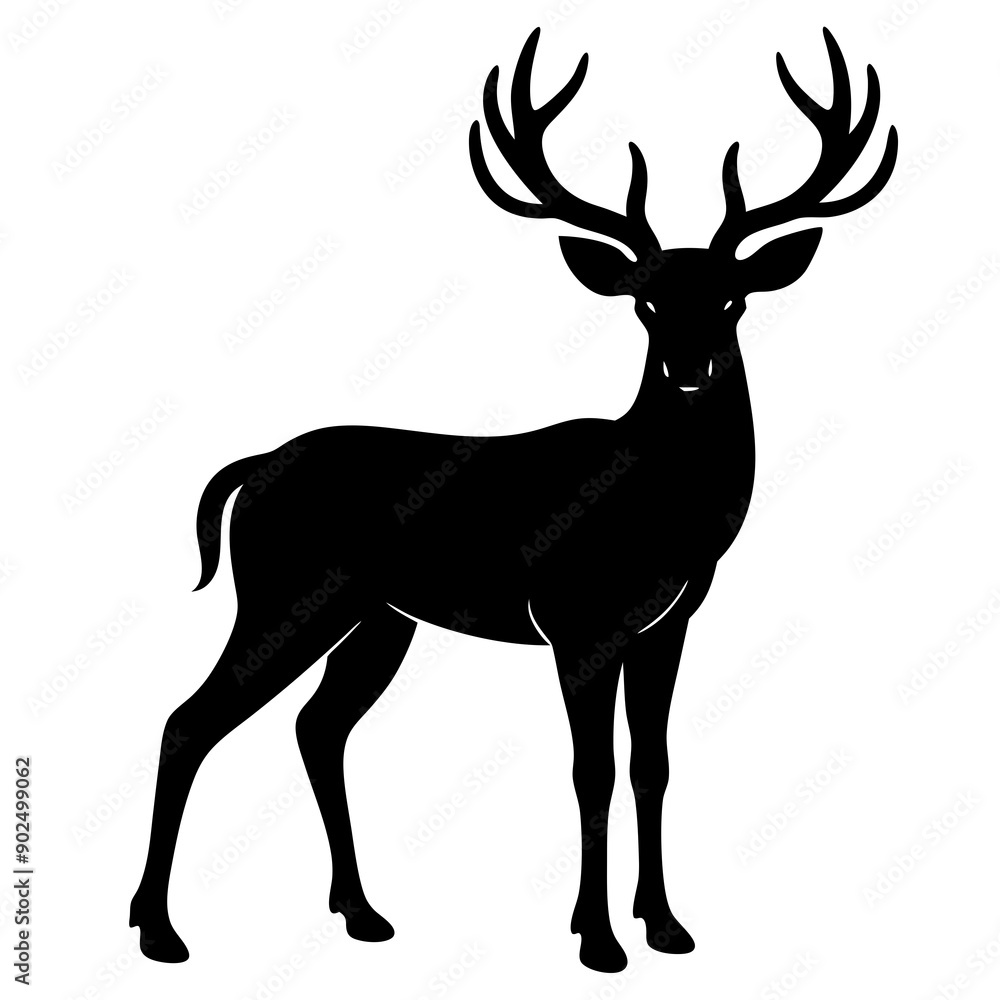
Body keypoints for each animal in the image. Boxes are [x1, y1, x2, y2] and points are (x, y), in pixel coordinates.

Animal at [129, 26, 896, 973]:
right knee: (189, 719)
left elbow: (653, 765)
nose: (689, 368)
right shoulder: (579, 620)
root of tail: (251, 468)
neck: (665, 508)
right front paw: (599, 940)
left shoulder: (668, 622)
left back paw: (362, 912)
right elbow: (591, 772)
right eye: (646, 301)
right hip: (286, 592)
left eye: (734, 297)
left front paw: (666, 926)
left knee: (316, 727)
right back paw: (159, 931)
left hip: (378, 616)